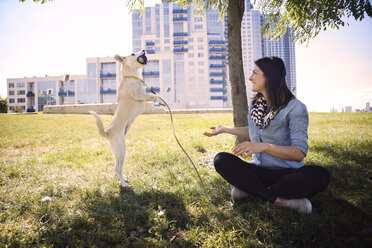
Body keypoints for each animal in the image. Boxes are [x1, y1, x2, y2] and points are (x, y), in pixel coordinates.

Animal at [88, 49, 164, 187]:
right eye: (133, 54)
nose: (144, 50)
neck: (133, 77)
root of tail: (107, 133)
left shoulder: (143, 95)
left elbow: (153, 96)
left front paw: (161, 102)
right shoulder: (139, 95)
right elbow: (152, 96)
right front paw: (159, 100)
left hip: (118, 153)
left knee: (118, 168)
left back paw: (124, 180)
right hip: (121, 151)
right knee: (117, 169)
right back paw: (124, 184)